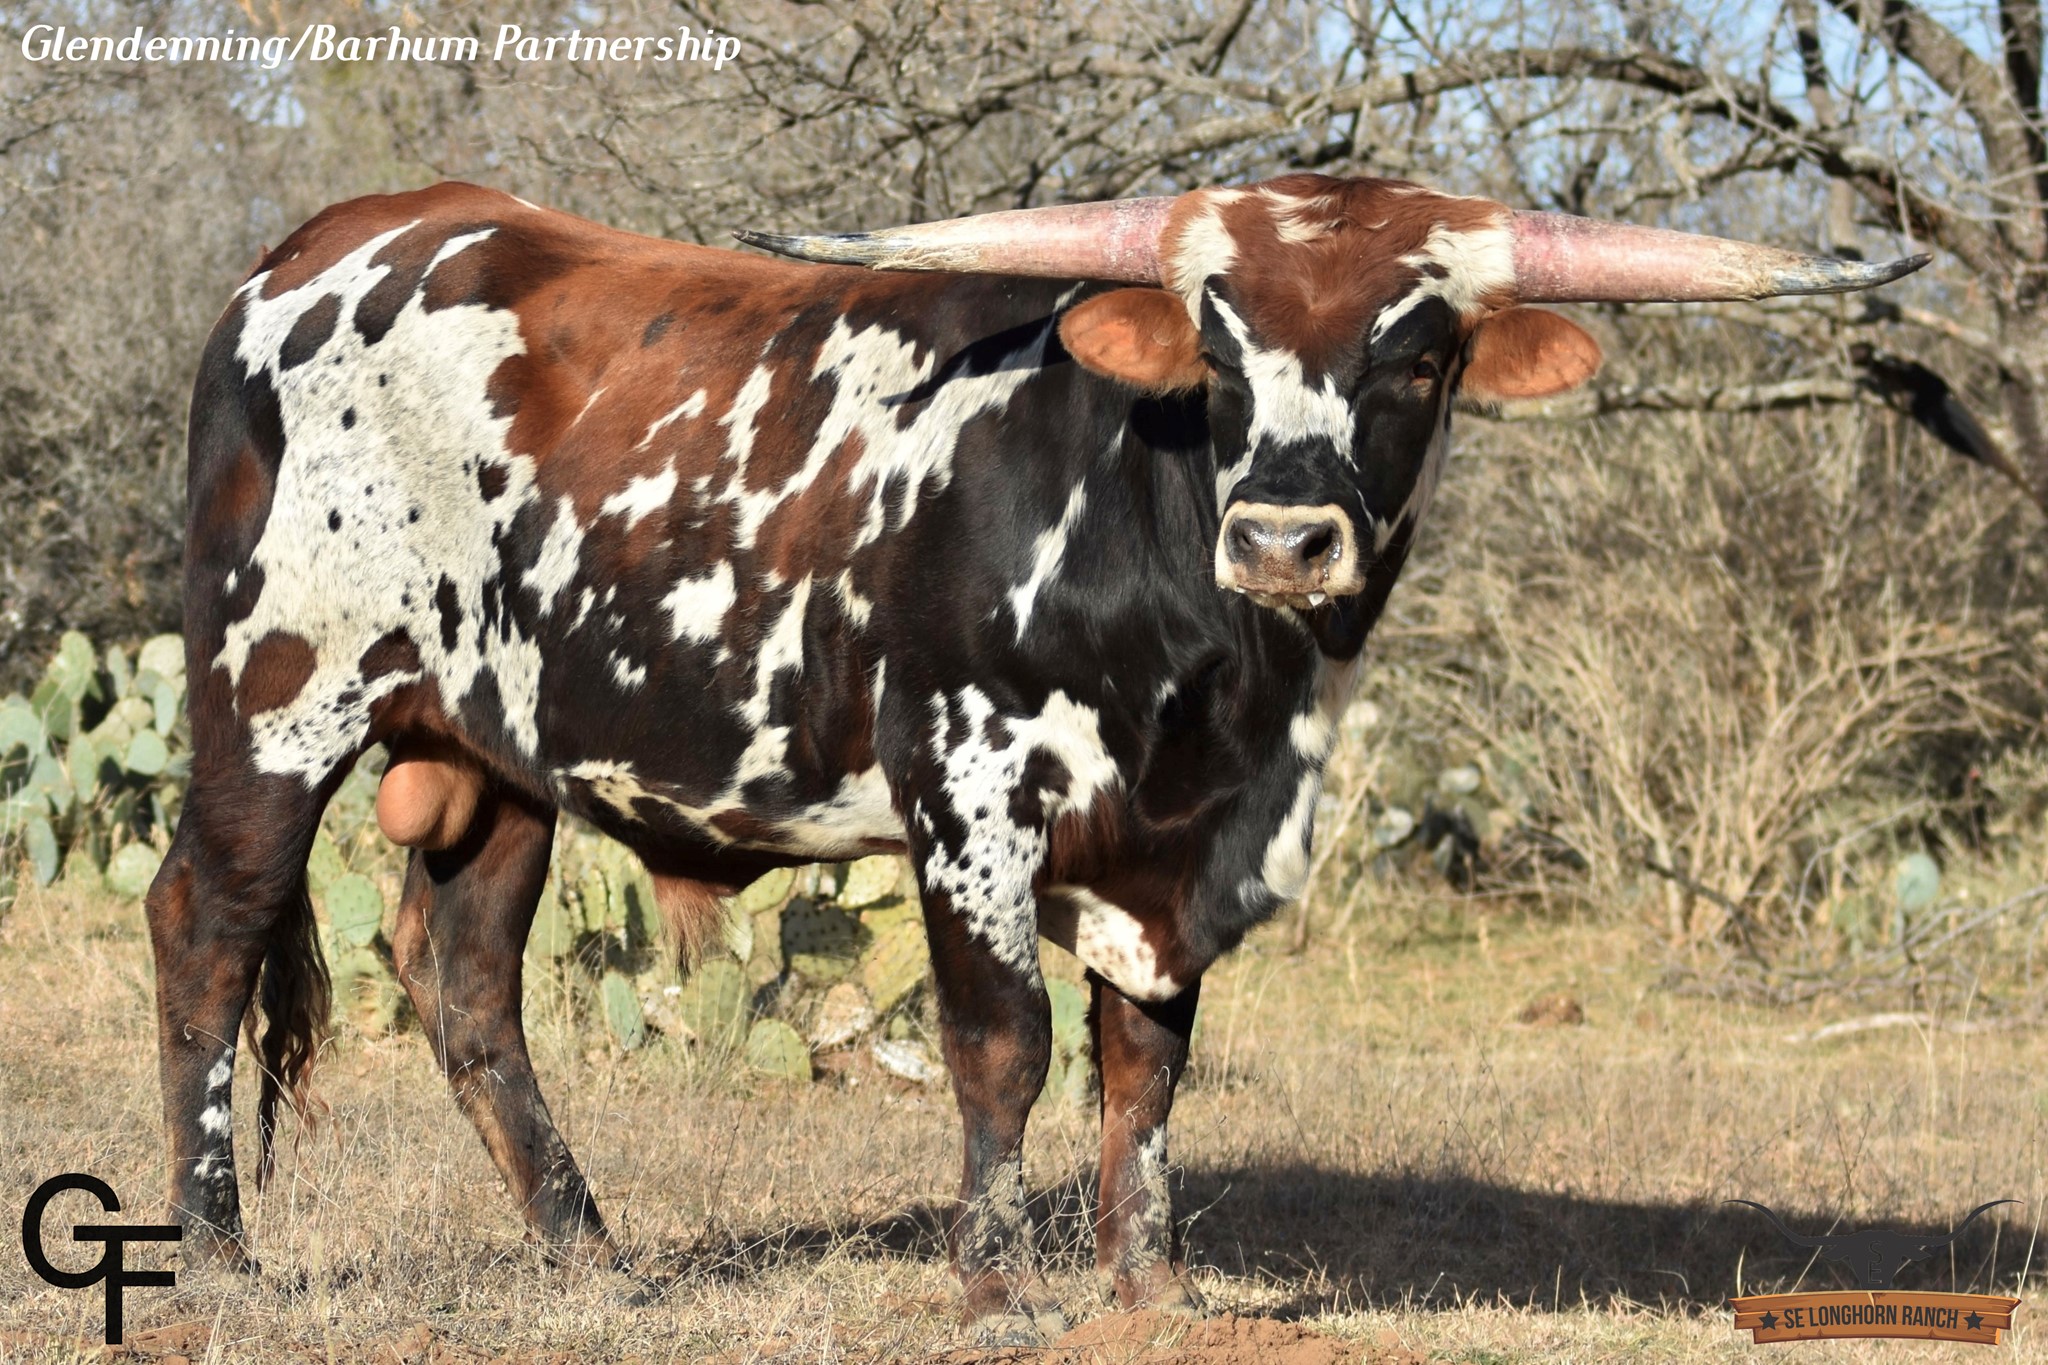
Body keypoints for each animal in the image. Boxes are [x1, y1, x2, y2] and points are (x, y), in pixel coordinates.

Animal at [147, 174, 1921, 1340]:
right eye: (1217, 347)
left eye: (1419, 354)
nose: (1284, 536)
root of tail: (318, 247)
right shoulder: (970, 790)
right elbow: (1003, 1044)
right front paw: (997, 1285)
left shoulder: (1177, 857)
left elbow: (1143, 1071)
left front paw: (1150, 1281)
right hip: (273, 692)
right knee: (208, 931)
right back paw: (220, 1256)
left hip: (501, 755)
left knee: (463, 984)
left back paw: (589, 1255)